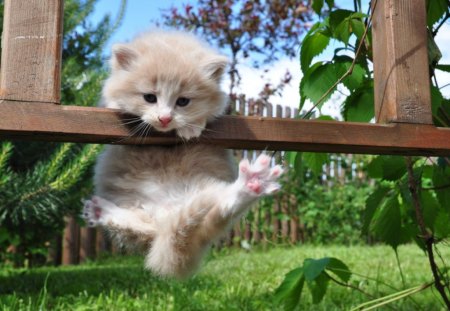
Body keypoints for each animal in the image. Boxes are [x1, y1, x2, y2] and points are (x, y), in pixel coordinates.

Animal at [82, 29, 284, 280]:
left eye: (183, 101)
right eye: (150, 97)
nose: (165, 118)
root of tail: (169, 213)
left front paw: (191, 127)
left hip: (206, 197)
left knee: (222, 207)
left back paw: (252, 183)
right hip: (139, 208)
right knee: (145, 228)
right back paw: (100, 211)